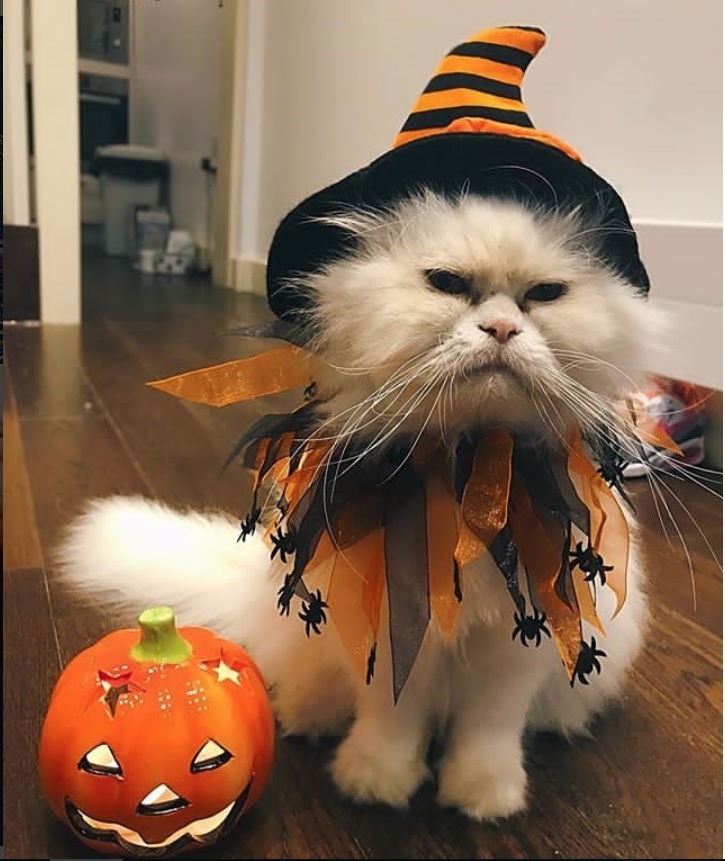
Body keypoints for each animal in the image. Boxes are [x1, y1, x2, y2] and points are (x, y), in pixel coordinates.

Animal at [55, 190, 660, 820]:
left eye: (545, 294)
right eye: (447, 283)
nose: (501, 328)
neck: (469, 468)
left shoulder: (515, 645)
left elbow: (487, 733)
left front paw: (483, 796)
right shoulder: (389, 627)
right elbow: (390, 719)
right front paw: (375, 782)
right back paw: (307, 717)